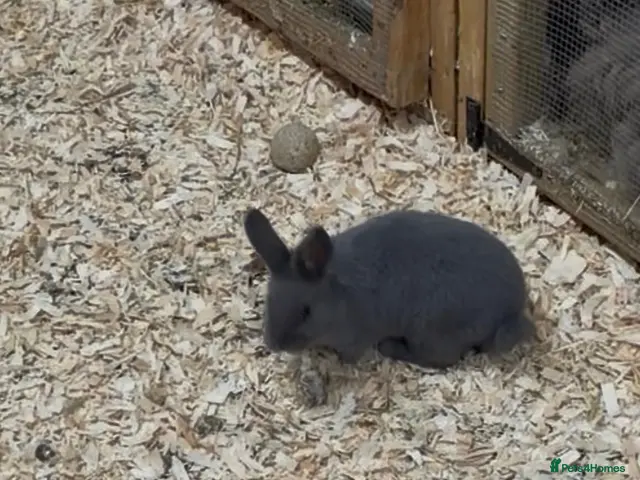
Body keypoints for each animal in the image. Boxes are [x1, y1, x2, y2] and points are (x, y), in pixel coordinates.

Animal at [242, 207, 536, 369]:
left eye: (306, 312)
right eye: (269, 300)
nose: (274, 345)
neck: (339, 296)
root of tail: (513, 311)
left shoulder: (354, 339)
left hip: (430, 332)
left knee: (441, 359)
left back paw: (390, 348)